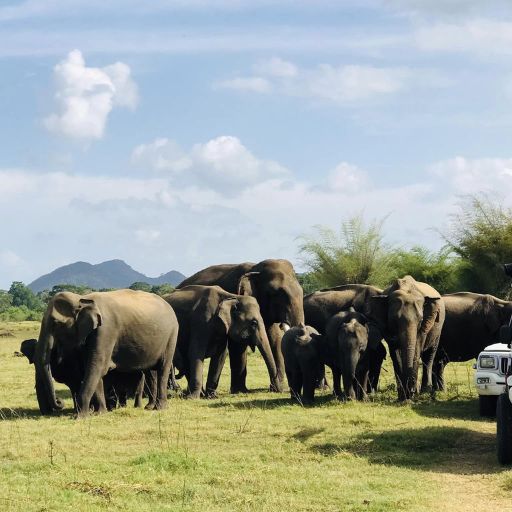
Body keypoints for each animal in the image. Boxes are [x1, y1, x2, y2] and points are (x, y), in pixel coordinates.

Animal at [32, 290, 179, 414]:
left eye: (56, 323)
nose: (59, 401)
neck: (83, 298)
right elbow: (92, 368)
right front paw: (100, 413)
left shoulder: (105, 331)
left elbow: (97, 367)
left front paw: (81, 416)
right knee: (151, 372)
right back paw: (150, 406)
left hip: (171, 335)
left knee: (162, 369)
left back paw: (159, 408)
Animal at [176, 258, 304, 394]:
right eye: (276, 292)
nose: (278, 389)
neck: (255, 268)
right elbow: (237, 344)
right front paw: (240, 391)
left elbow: (275, 339)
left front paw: (275, 389)